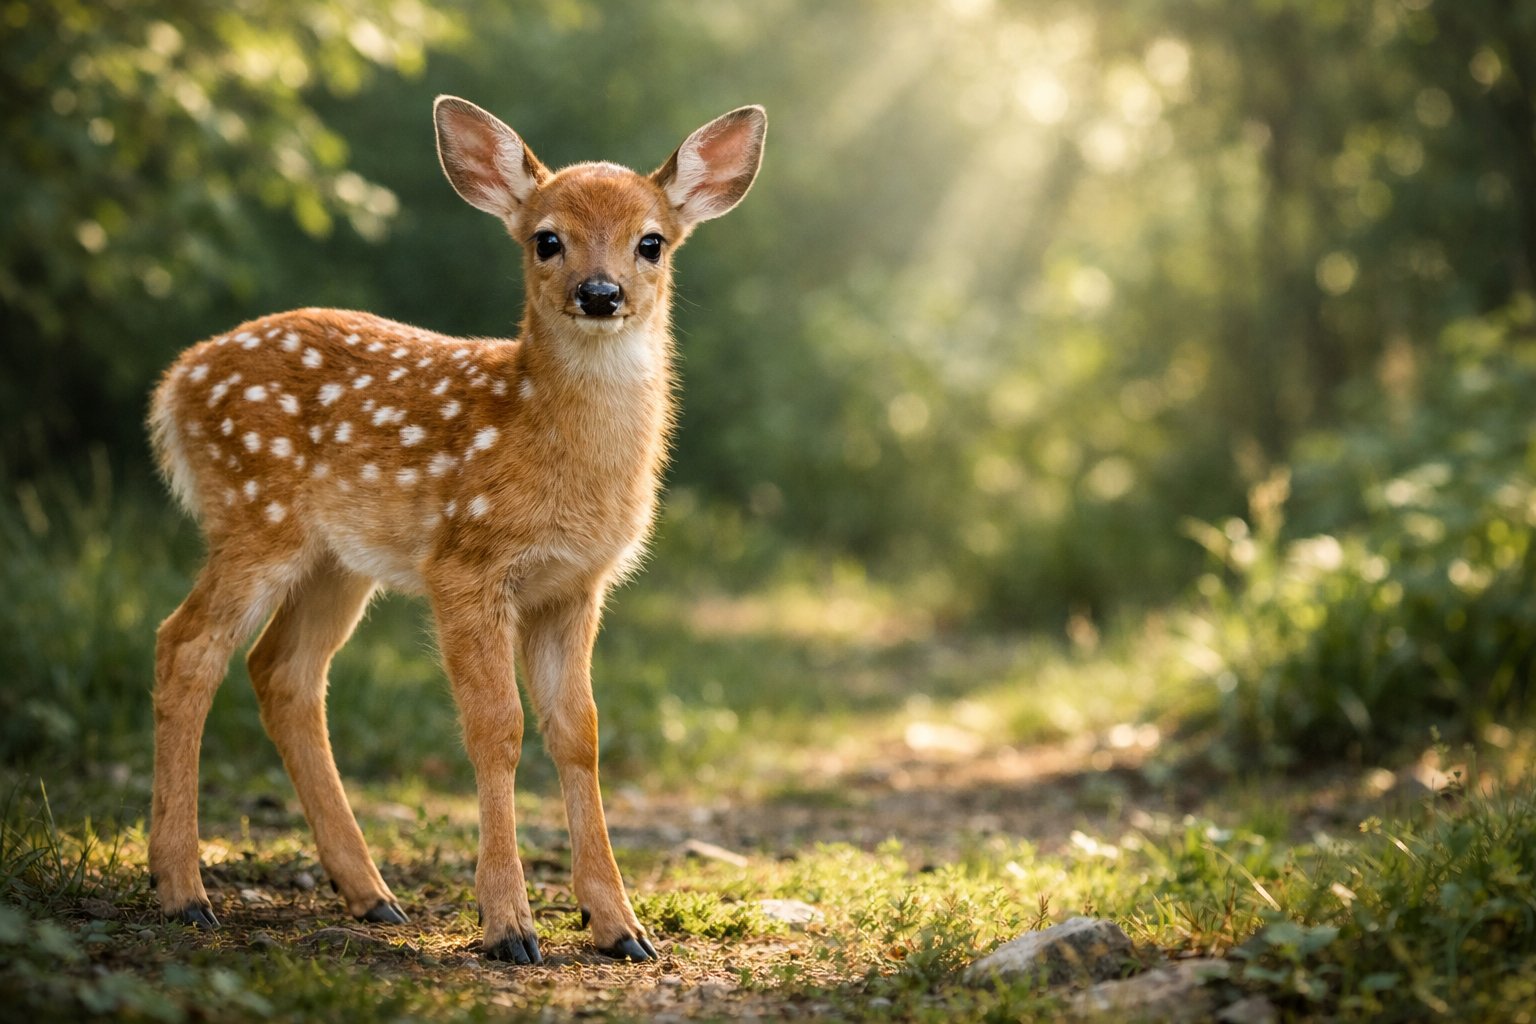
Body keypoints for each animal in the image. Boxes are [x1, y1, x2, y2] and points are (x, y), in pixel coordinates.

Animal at [145, 96, 766, 964]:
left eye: (653, 241)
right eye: (547, 239)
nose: (600, 292)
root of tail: (175, 385)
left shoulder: (575, 585)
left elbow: (579, 731)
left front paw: (620, 927)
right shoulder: (466, 564)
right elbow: (496, 727)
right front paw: (509, 926)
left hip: (337, 561)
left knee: (283, 671)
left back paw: (372, 895)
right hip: (253, 513)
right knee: (188, 644)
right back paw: (183, 892)